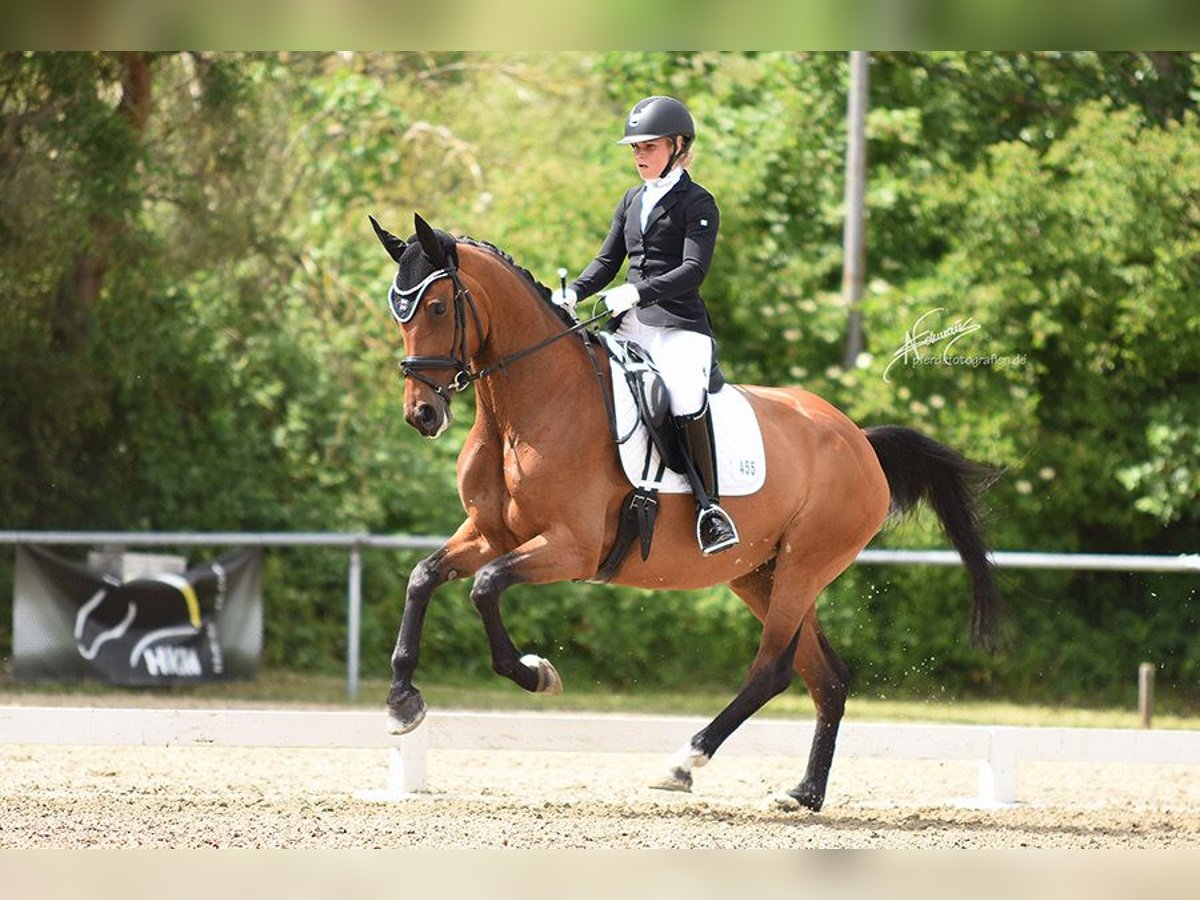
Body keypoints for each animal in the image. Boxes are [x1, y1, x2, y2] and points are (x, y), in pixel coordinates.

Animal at [367, 214, 1003, 816]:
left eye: (439, 306)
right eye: (399, 312)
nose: (423, 415)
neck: (525, 408)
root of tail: (859, 439)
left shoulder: (571, 547)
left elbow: (485, 587)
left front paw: (535, 673)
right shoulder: (491, 532)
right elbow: (424, 575)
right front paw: (403, 703)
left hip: (804, 565)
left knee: (773, 670)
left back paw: (683, 763)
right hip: (759, 574)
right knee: (827, 676)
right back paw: (803, 794)